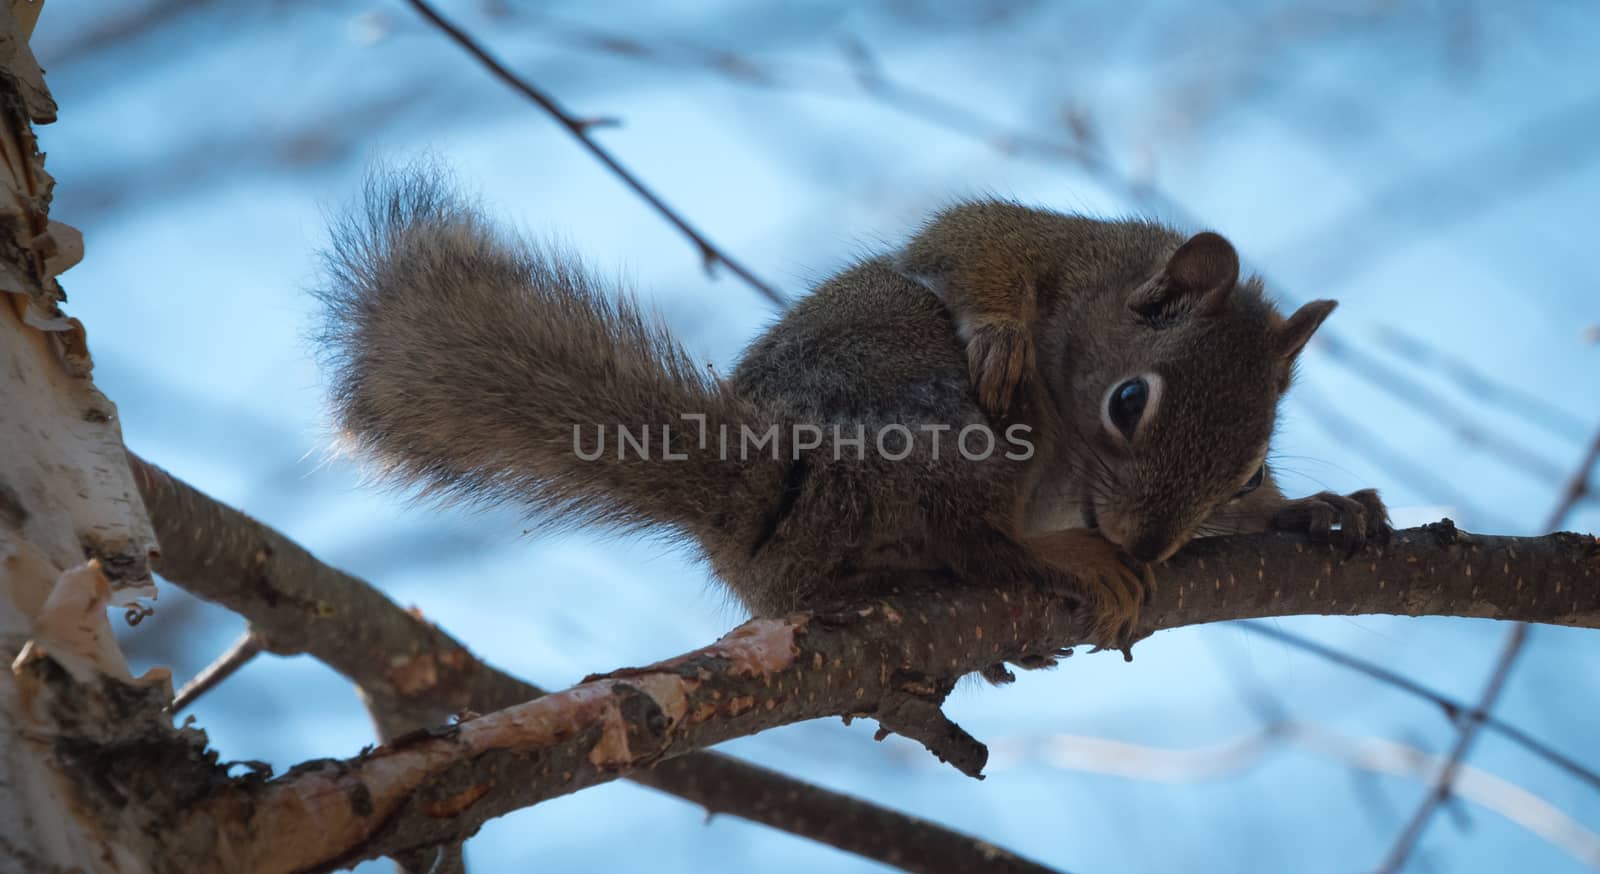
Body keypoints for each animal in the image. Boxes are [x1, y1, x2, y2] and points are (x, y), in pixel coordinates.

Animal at [315, 166, 1388, 662]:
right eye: (1130, 402)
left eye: (1248, 471)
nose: (1151, 543)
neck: (1099, 284)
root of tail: (773, 512)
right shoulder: (1032, 243)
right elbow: (970, 248)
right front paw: (1002, 331)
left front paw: (1320, 508)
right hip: (941, 424)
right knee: (970, 535)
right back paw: (1058, 557)